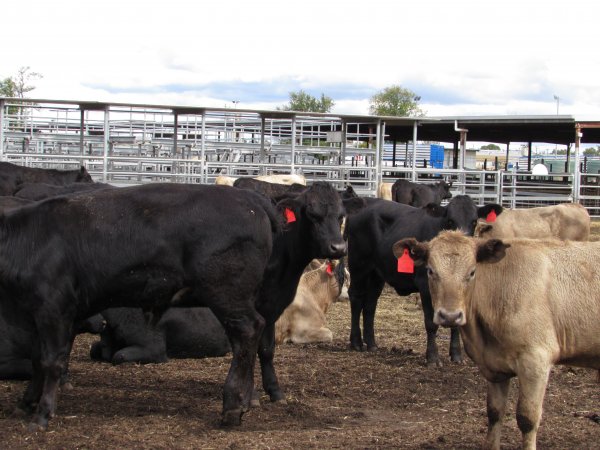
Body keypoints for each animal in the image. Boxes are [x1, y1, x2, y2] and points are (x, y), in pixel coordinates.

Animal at [342, 195, 502, 368]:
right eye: (450, 220)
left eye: (474, 221)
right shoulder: (425, 286)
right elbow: (431, 323)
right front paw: (432, 358)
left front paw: (456, 355)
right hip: (359, 266)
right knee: (356, 297)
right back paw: (356, 342)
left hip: (376, 274)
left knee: (370, 303)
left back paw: (371, 343)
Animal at [394, 232, 600, 450]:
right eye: (431, 270)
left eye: (472, 272)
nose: (450, 316)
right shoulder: (494, 367)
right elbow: (494, 412)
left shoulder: (536, 361)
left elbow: (527, 418)